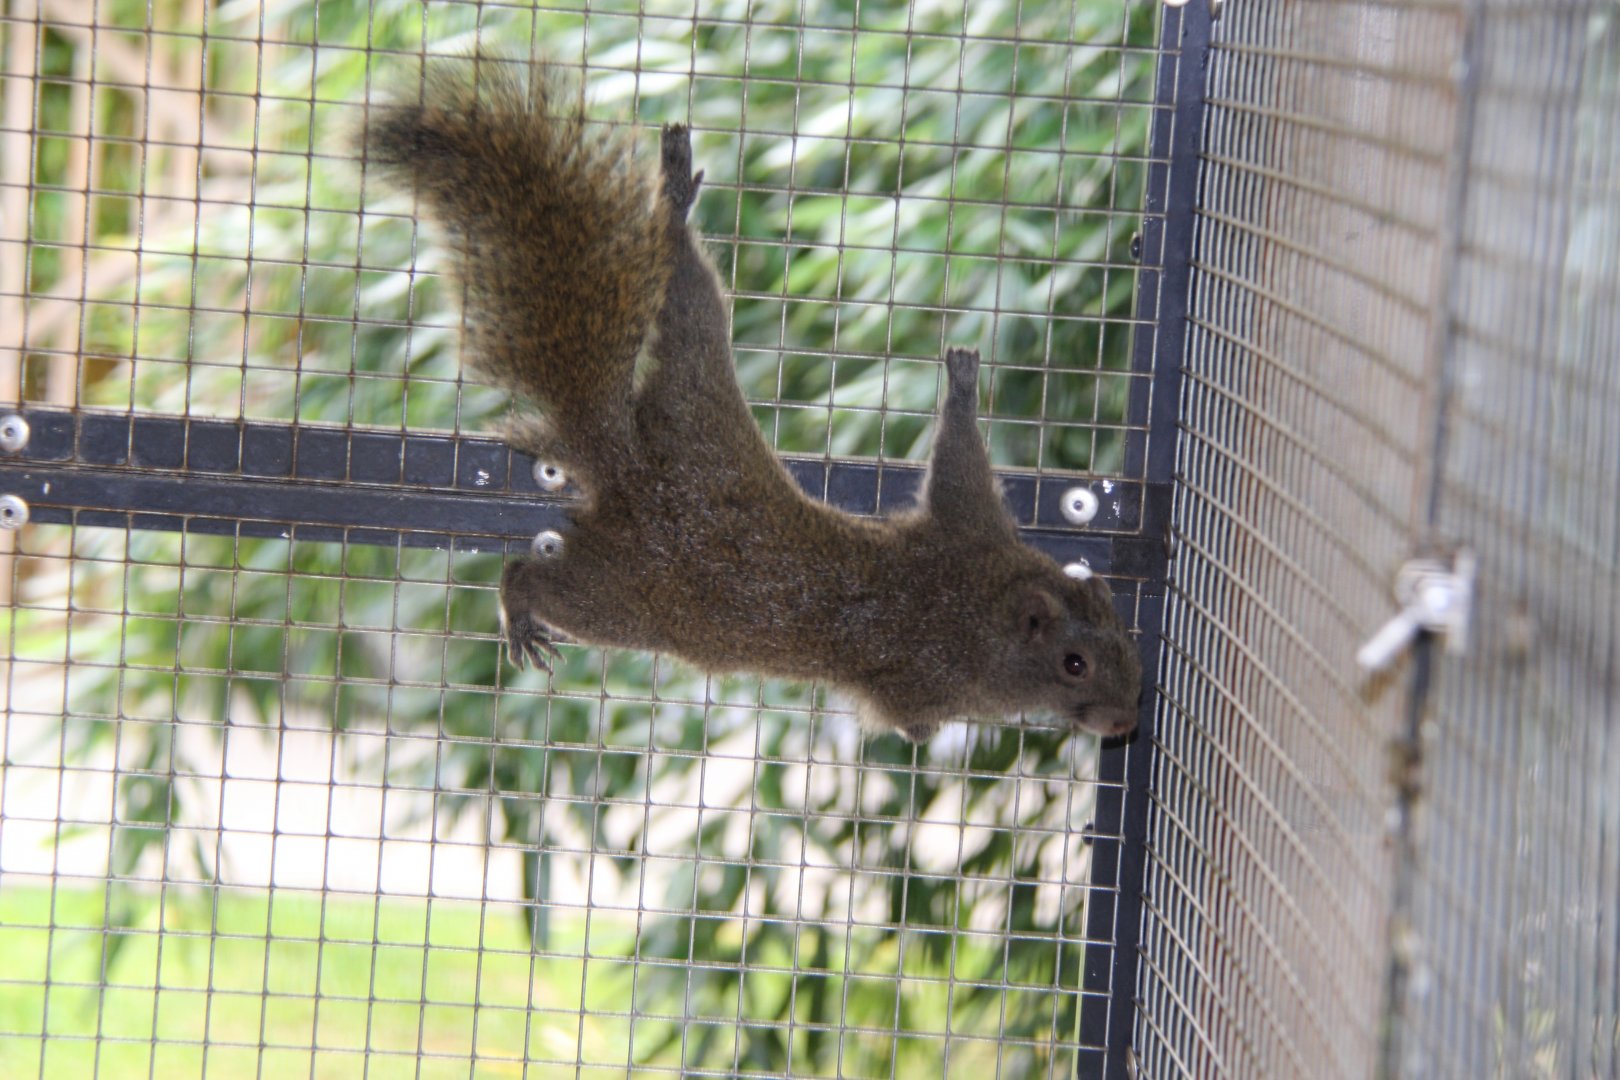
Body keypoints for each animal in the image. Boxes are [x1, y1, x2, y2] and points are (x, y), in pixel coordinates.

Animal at [360, 58, 1143, 742]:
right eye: (1073, 665)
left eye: (1125, 640)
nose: (1125, 724)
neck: (979, 599)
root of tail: (632, 464)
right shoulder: (923, 663)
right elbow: (908, 717)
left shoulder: (970, 523)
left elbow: (957, 459)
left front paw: (962, 383)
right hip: (623, 598)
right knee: (538, 579)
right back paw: (520, 609)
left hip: (693, 378)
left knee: (685, 289)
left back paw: (675, 199)